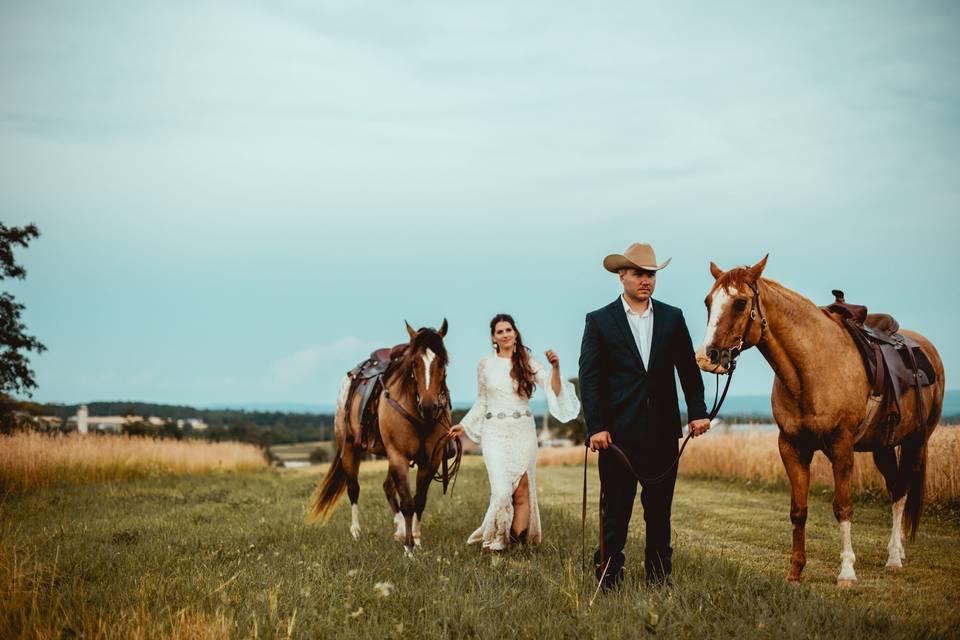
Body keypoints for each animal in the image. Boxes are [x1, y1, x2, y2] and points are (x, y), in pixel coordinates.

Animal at [310, 322, 456, 552]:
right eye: (414, 363)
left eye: (441, 362)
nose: (429, 406)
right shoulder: (399, 456)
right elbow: (408, 502)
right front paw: (408, 548)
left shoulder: (430, 460)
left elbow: (419, 500)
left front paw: (416, 539)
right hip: (350, 448)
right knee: (354, 488)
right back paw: (356, 532)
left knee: (388, 486)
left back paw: (399, 529)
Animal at [692, 258, 940, 588]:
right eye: (708, 302)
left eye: (740, 302)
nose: (706, 357)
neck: (811, 367)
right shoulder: (792, 447)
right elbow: (798, 510)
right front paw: (795, 571)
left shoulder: (841, 447)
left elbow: (843, 506)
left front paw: (847, 571)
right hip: (883, 446)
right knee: (895, 488)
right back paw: (895, 552)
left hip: (916, 442)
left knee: (902, 492)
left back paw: (894, 558)